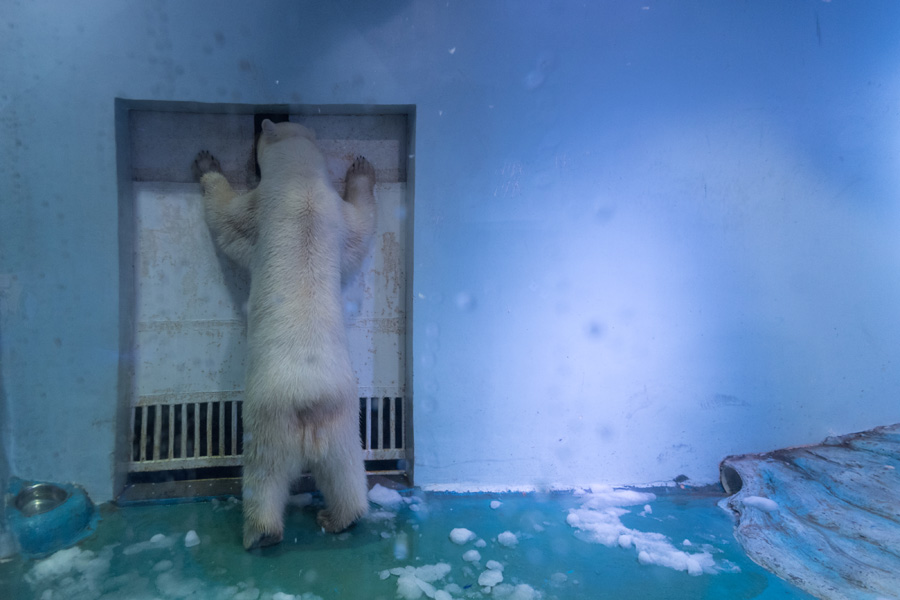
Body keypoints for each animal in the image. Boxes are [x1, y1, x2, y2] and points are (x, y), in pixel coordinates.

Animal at [193, 119, 376, 552]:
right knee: (346, 471)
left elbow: (225, 218)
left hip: (268, 419)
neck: (301, 185)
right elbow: (360, 226)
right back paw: (339, 517)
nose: (260, 125)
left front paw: (207, 163)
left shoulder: (259, 207)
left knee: (263, 476)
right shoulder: (334, 212)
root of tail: (309, 402)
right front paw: (362, 169)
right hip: (343, 419)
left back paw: (260, 533)